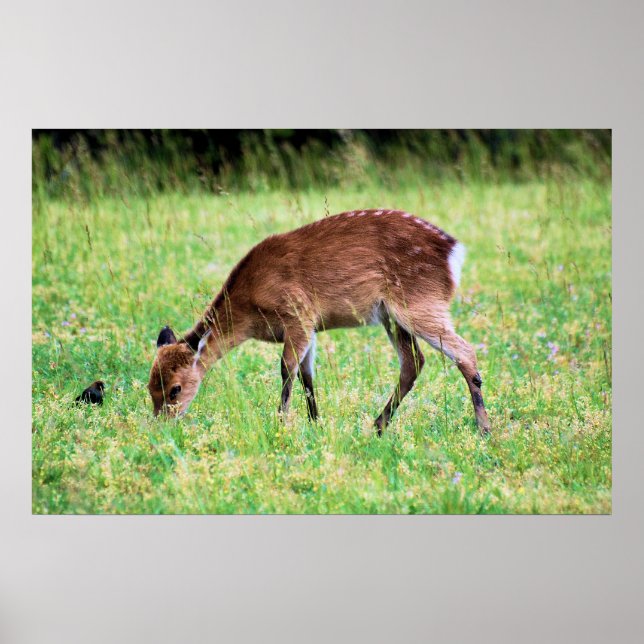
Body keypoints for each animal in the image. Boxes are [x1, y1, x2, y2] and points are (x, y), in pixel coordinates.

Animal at [148, 209, 491, 435]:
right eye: (150, 386)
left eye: (175, 389)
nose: (160, 425)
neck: (250, 307)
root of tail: (453, 252)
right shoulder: (309, 328)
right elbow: (307, 376)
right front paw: (315, 425)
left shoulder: (297, 313)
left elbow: (287, 369)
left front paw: (282, 424)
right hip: (393, 316)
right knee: (413, 362)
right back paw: (377, 426)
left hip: (420, 302)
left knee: (464, 351)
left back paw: (484, 429)